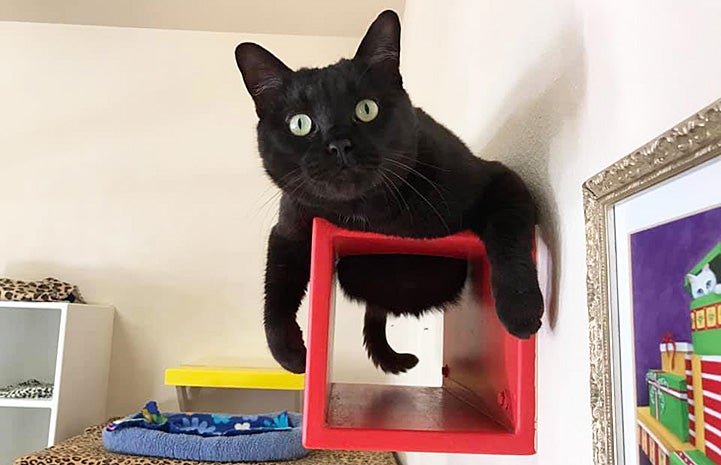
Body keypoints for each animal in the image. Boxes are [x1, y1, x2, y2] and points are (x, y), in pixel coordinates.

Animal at [233, 10, 544, 374]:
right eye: (300, 123)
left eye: (366, 109)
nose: (339, 145)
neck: (370, 215)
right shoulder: (290, 228)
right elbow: (277, 292)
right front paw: (292, 355)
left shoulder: (499, 178)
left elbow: (508, 238)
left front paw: (521, 310)